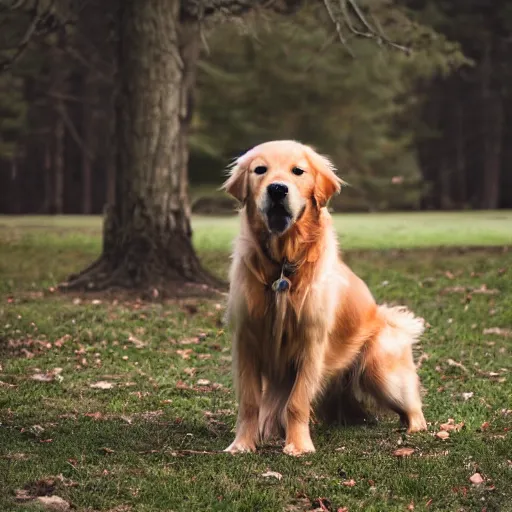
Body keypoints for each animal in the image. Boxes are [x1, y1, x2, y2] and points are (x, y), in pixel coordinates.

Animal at [222, 140, 426, 456]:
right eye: (260, 170)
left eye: (298, 171)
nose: (277, 189)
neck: (283, 264)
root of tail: (387, 316)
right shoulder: (247, 342)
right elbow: (249, 402)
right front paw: (243, 444)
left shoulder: (311, 344)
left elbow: (297, 403)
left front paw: (298, 446)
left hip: (381, 372)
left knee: (413, 404)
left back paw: (415, 428)